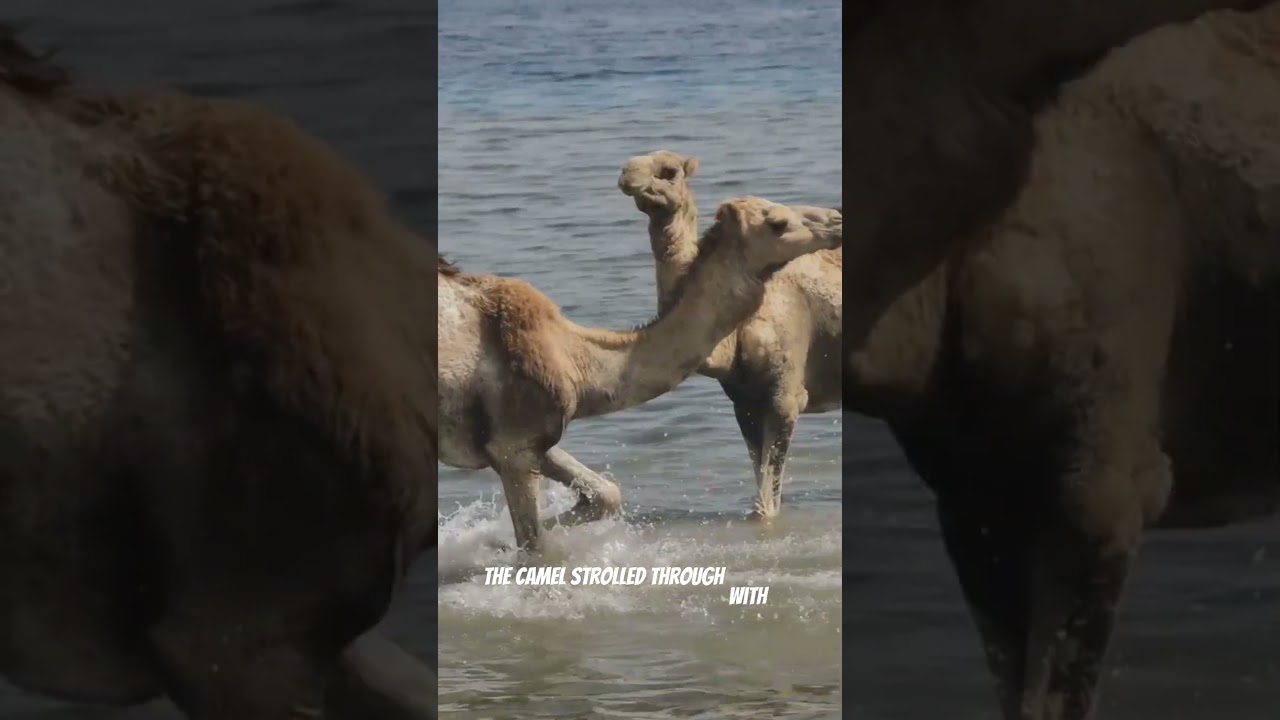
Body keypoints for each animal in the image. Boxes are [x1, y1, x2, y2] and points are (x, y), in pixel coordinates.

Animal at [438, 197, 843, 551]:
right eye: (778, 223)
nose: (837, 219)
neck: (576, 361)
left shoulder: (530, 439)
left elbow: (607, 495)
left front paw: (485, 540)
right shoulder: (515, 445)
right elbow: (534, 548)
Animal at [617, 151, 842, 518]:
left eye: (669, 171)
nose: (627, 175)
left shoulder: (787, 398)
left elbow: (767, 500)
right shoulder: (744, 402)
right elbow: (762, 487)